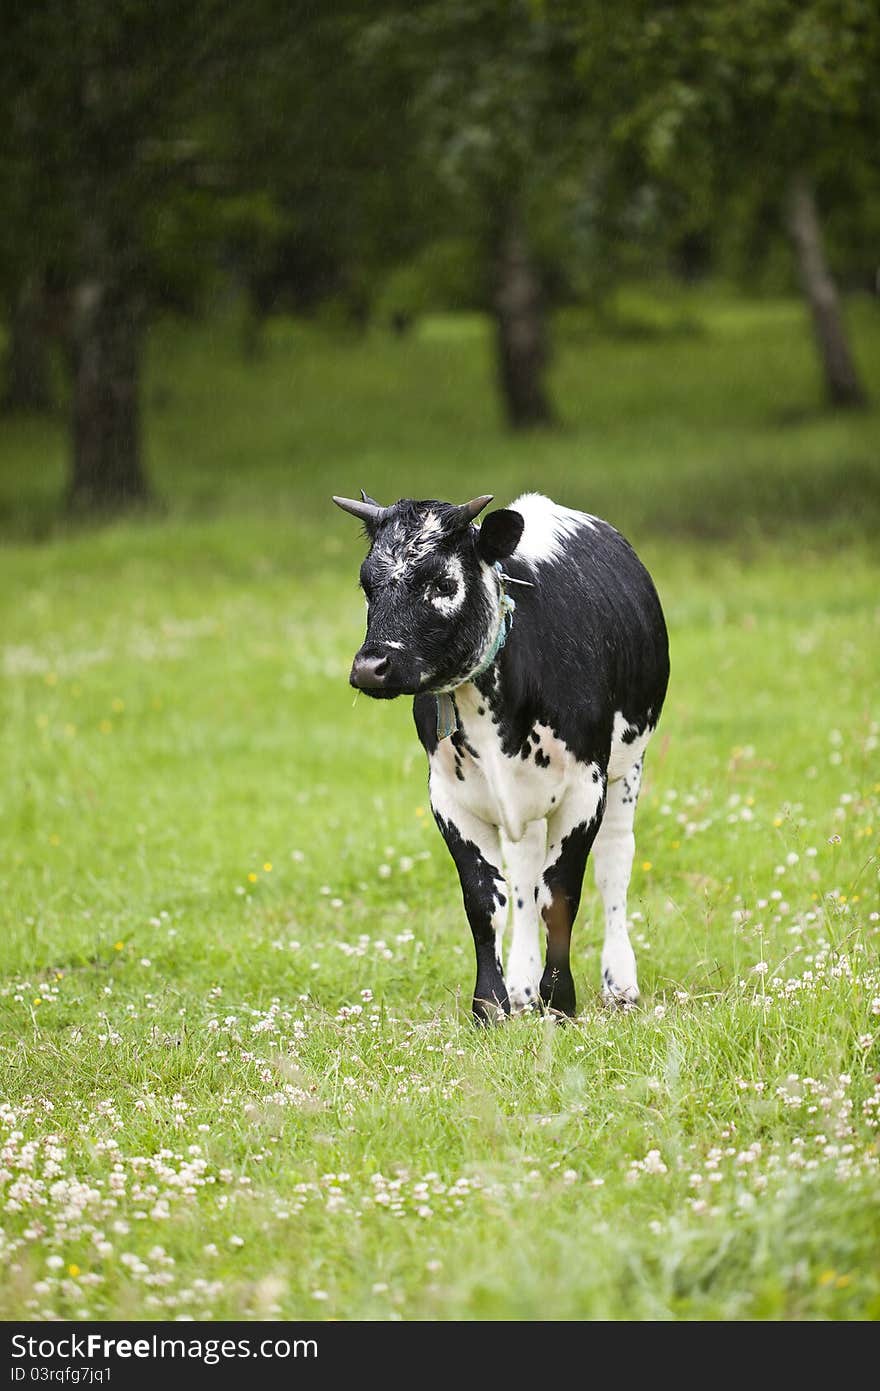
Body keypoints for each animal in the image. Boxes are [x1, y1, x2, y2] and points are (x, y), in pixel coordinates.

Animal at [332, 489, 670, 1023]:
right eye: (368, 584)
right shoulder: (450, 799)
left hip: (627, 769)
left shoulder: (585, 789)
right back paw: (522, 986)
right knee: (524, 874)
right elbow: (484, 901)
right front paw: (492, 1004)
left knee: (614, 862)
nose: (370, 667)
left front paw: (560, 1002)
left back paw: (620, 984)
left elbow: (560, 894)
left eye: (444, 583)